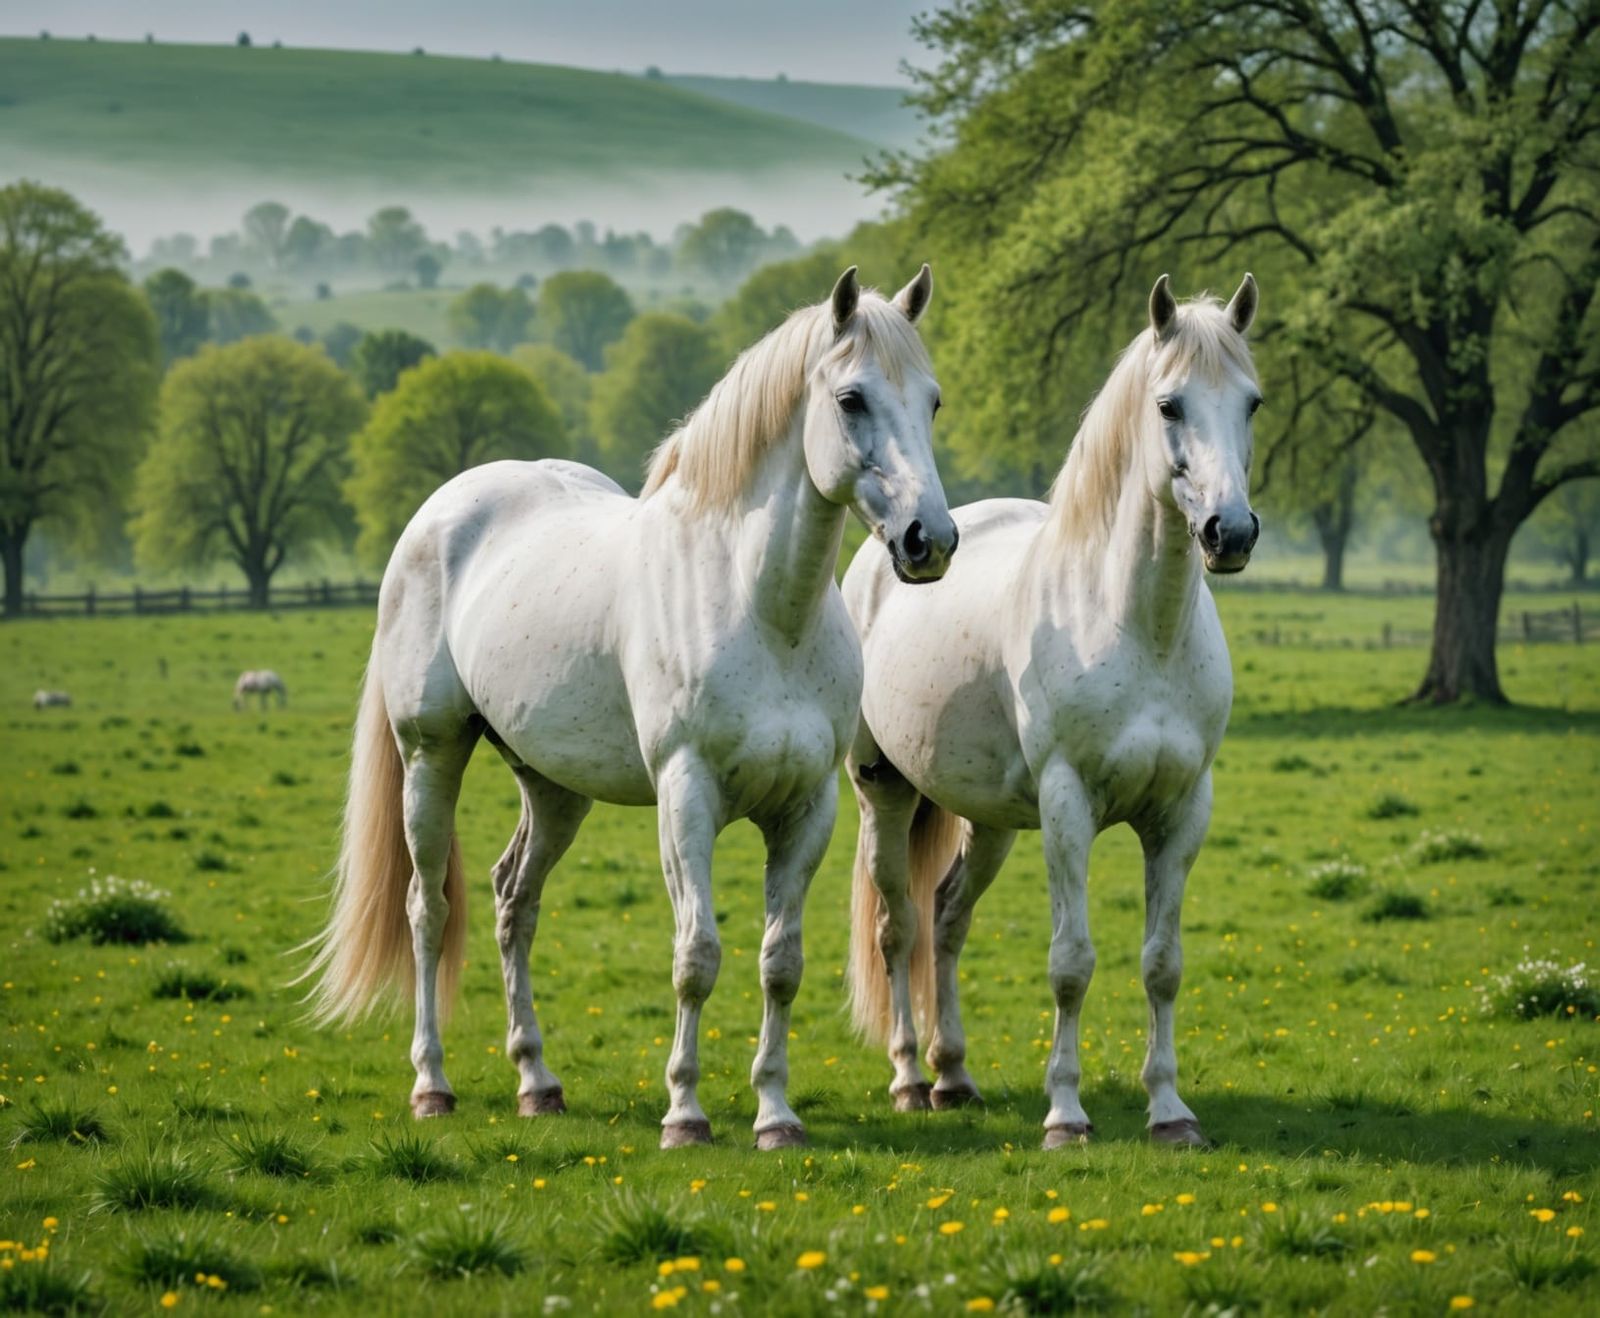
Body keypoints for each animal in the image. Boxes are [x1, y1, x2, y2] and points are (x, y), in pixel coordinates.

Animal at [301, 266, 957, 1149]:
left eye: (932, 401)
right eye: (851, 398)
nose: (931, 540)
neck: (756, 603)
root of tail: (439, 513)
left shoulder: (808, 808)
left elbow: (780, 963)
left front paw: (776, 1115)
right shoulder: (686, 795)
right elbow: (697, 955)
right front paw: (685, 1113)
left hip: (553, 787)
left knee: (515, 901)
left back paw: (537, 1081)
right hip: (430, 756)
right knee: (428, 909)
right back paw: (432, 1086)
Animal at [843, 274, 1262, 1150]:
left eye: (1252, 401)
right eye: (1169, 404)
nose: (1230, 532)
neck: (1136, 626)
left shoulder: (1182, 811)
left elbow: (1162, 963)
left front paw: (1170, 1112)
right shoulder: (1069, 805)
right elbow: (1071, 963)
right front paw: (1066, 1114)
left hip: (992, 819)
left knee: (947, 919)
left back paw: (954, 1076)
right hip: (884, 791)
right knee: (900, 926)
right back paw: (909, 1077)